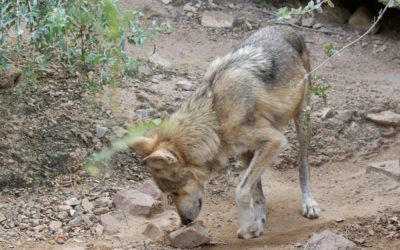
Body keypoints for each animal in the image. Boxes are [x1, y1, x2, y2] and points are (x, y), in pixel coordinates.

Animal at [130, 25, 320, 240]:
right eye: (169, 194)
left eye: (175, 192)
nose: (185, 222)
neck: (215, 117)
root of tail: (285, 27)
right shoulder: (248, 150)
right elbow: (255, 191)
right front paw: (256, 224)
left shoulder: (274, 140)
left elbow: (241, 190)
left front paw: (247, 225)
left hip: (302, 121)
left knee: (303, 164)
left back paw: (308, 203)